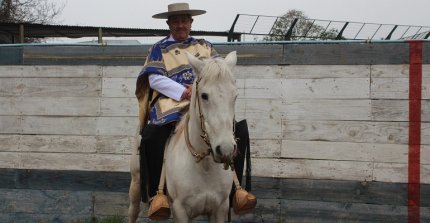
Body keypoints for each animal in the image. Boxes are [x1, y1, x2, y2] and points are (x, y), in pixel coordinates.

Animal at [129, 51, 240, 222]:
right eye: (204, 95)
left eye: (234, 96)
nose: (226, 149)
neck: (204, 165)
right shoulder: (180, 210)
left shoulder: (220, 208)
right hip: (135, 184)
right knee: (133, 211)